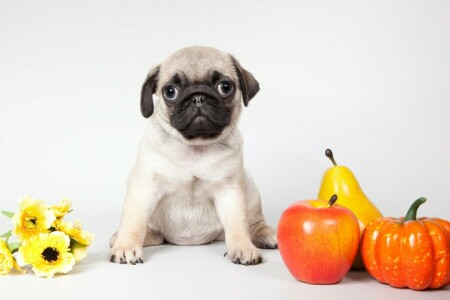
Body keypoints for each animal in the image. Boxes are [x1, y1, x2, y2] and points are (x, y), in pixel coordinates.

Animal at [110, 45, 278, 266]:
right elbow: (133, 221)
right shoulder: (143, 187)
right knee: (152, 233)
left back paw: (266, 234)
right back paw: (124, 237)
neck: (195, 147)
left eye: (225, 87)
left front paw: (243, 247)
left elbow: (238, 224)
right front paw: (126, 246)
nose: (198, 97)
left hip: (250, 190)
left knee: (254, 222)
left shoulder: (230, 191)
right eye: (170, 91)